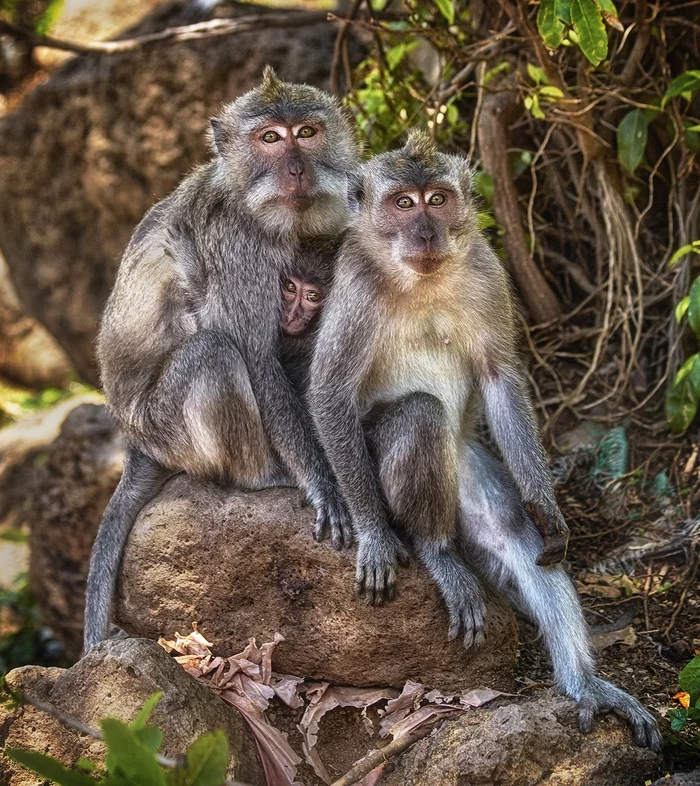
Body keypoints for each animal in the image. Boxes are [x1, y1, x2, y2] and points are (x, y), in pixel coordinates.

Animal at [310, 130, 660, 748]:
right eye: (403, 203)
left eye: (437, 199)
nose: (426, 232)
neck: (421, 279)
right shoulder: (354, 285)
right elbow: (330, 393)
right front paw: (373, 533)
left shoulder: (488, 272)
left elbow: (499, 378)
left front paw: (548, 507)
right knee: (420, 416)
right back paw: (436, 551)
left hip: (472, 472)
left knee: (516, 533)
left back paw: (584, 685)